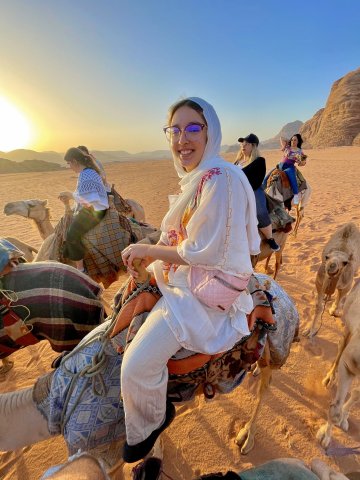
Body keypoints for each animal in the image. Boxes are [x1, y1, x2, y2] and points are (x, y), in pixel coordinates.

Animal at [316, 280, 360, 452]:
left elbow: (356, 393)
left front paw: (344, 419)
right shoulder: (349, 364)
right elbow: (334, 412)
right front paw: (324, 437)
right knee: (341, 348)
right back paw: (328, 380)